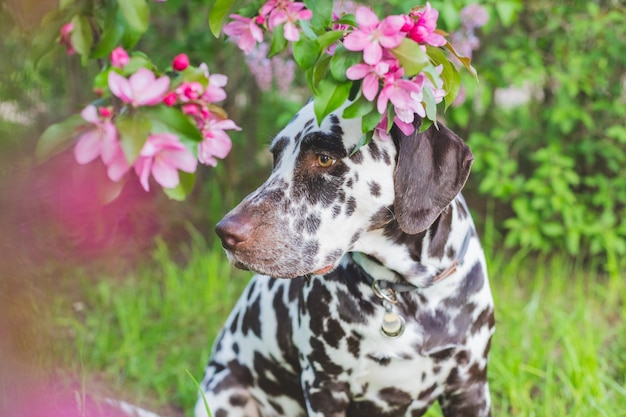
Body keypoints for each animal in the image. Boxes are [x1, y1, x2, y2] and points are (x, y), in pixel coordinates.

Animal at [195, 101, 492, 416]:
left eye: (324, 158)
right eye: (276, 156)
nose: (225, 232)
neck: (408, 293)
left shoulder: (470, 388)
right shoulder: (325, 389)